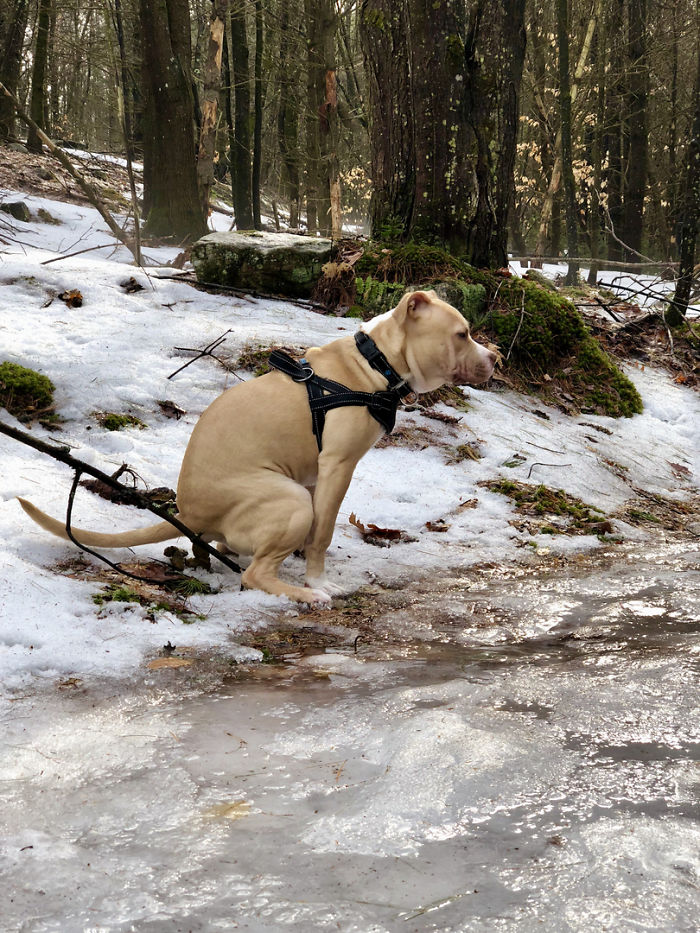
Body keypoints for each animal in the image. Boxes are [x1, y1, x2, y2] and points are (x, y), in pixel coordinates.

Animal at [17, 294, 498, 608]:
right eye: (462, 334)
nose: (496, 358)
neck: (374, 363)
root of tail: (189, 512)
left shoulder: (316, 474)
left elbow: (318, 530)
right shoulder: (337, 466)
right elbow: (323, 532)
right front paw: (319, 578)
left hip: (289, 494)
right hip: (289, 498)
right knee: (254, 575)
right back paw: (305, 593)